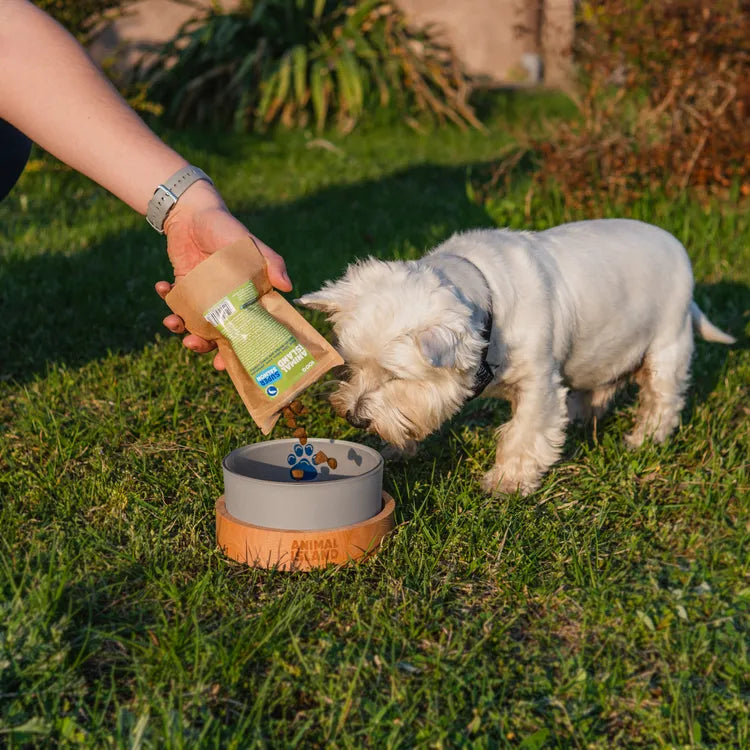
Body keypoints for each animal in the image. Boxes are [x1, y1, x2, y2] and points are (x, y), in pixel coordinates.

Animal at [296, 220, 736, 496]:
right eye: (353, 366)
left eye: (395, 377)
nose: (353, 418)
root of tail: (677, 246)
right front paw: (396, 447)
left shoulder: (539, 384)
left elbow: (525, 432)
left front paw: (508, 481)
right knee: (602, 385)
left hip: (667, 346)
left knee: (662, 399)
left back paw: (644, 439)